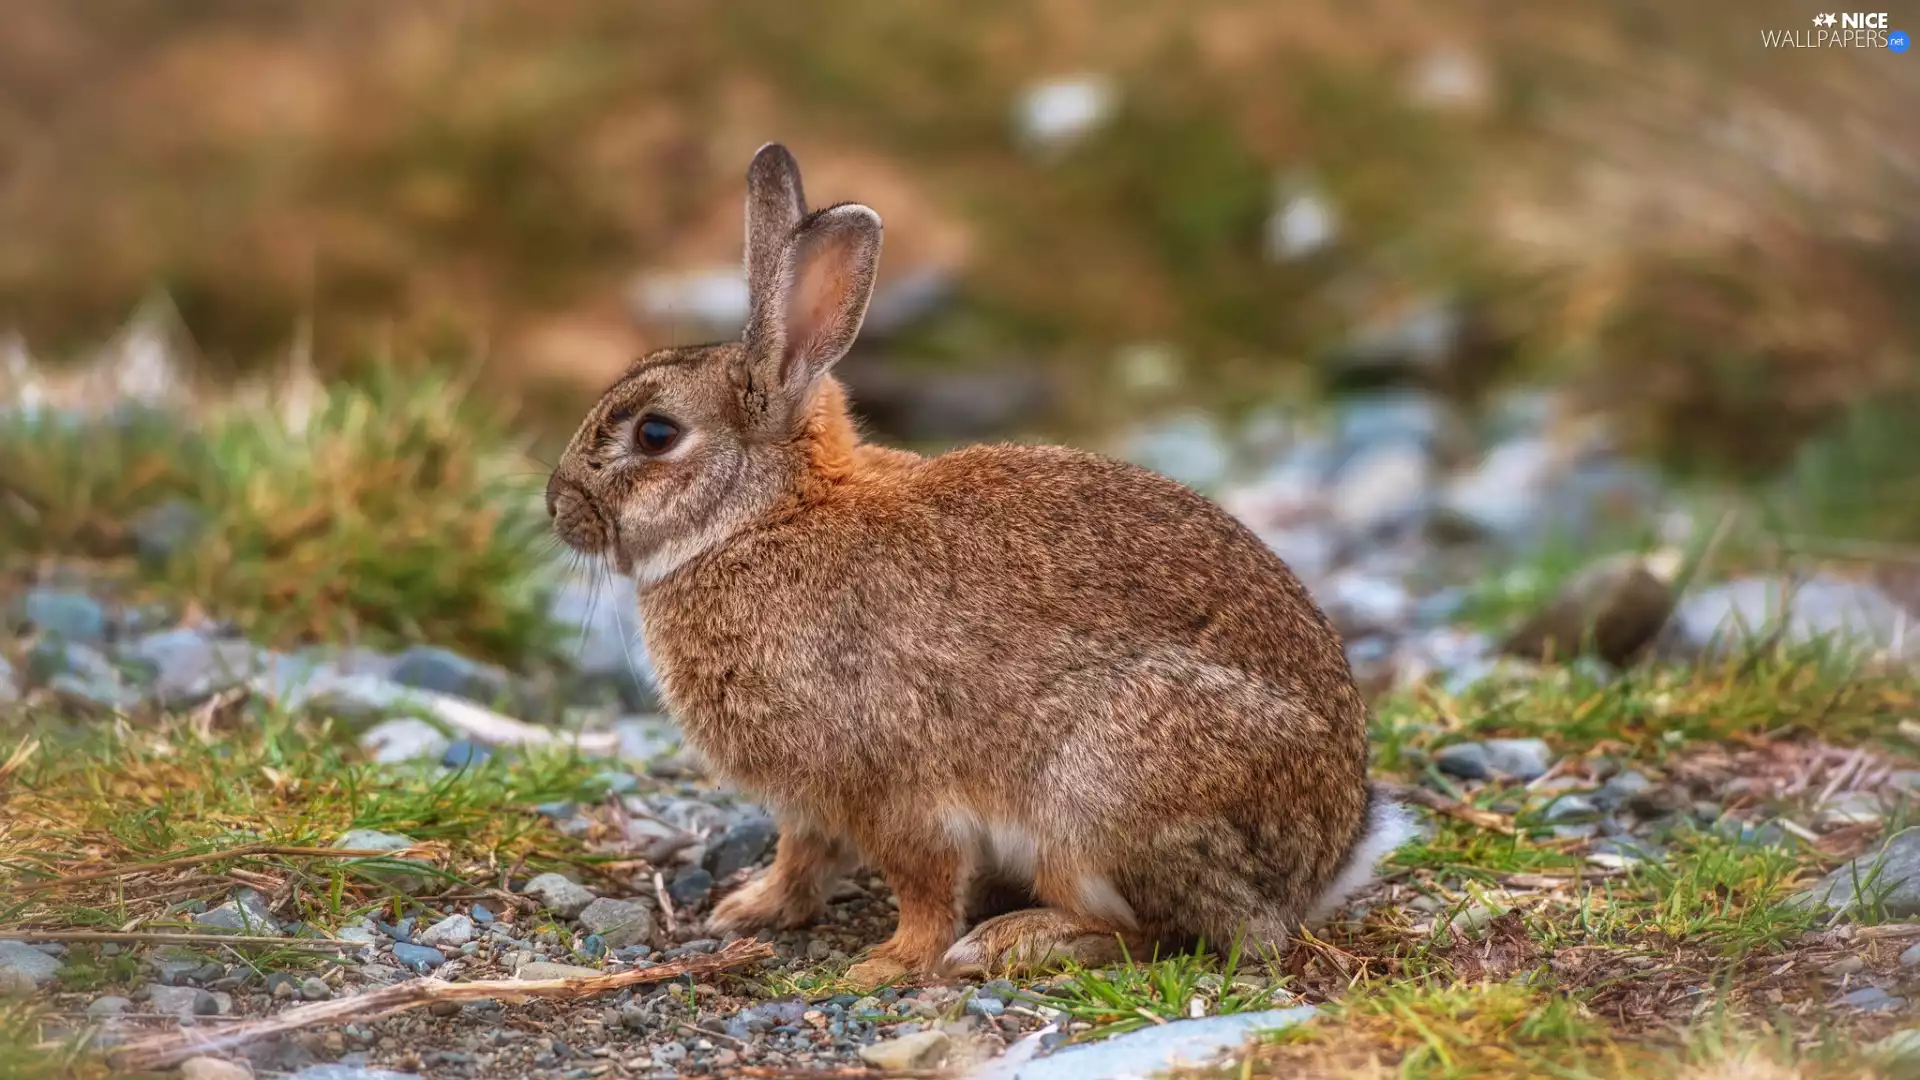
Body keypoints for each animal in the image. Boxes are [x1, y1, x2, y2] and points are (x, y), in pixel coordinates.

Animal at [546, 142, 1414, 985]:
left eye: (656, 434)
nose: (557, 507)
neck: (767, 517)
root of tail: (1326, 860)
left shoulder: (892, 786)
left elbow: (923, 882)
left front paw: (889, 964)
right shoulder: (812, 801)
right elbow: (803, 855)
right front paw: (750, 909)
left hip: (1098, 799)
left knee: (1164, 931)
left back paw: (1008, 944)